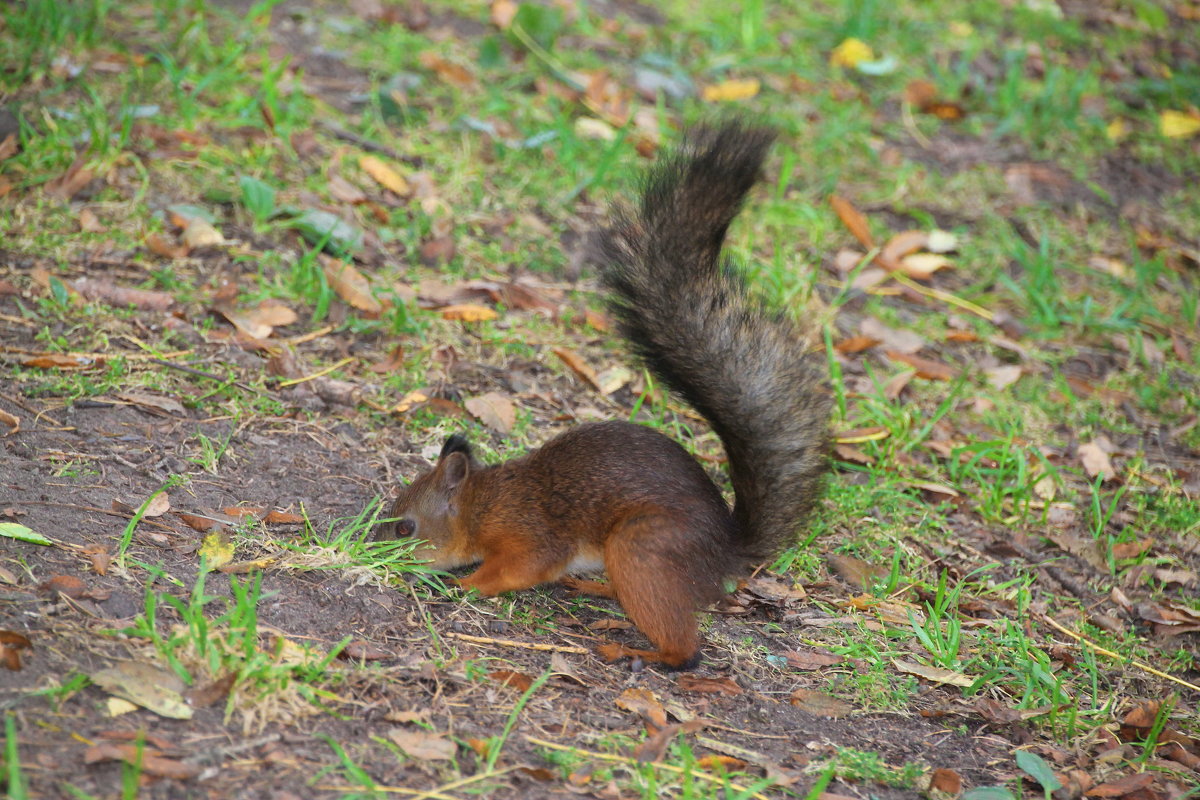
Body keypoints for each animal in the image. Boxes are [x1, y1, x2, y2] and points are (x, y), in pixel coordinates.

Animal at [379, 120, 830, 671]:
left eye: (405, 528)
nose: (371, 549)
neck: (482, 504)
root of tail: (727, 552)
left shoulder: (530, 535)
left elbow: (520, 569)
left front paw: (467, 584)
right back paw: (596, 593)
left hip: (641, 549)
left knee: (685, 650)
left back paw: (631, 648)